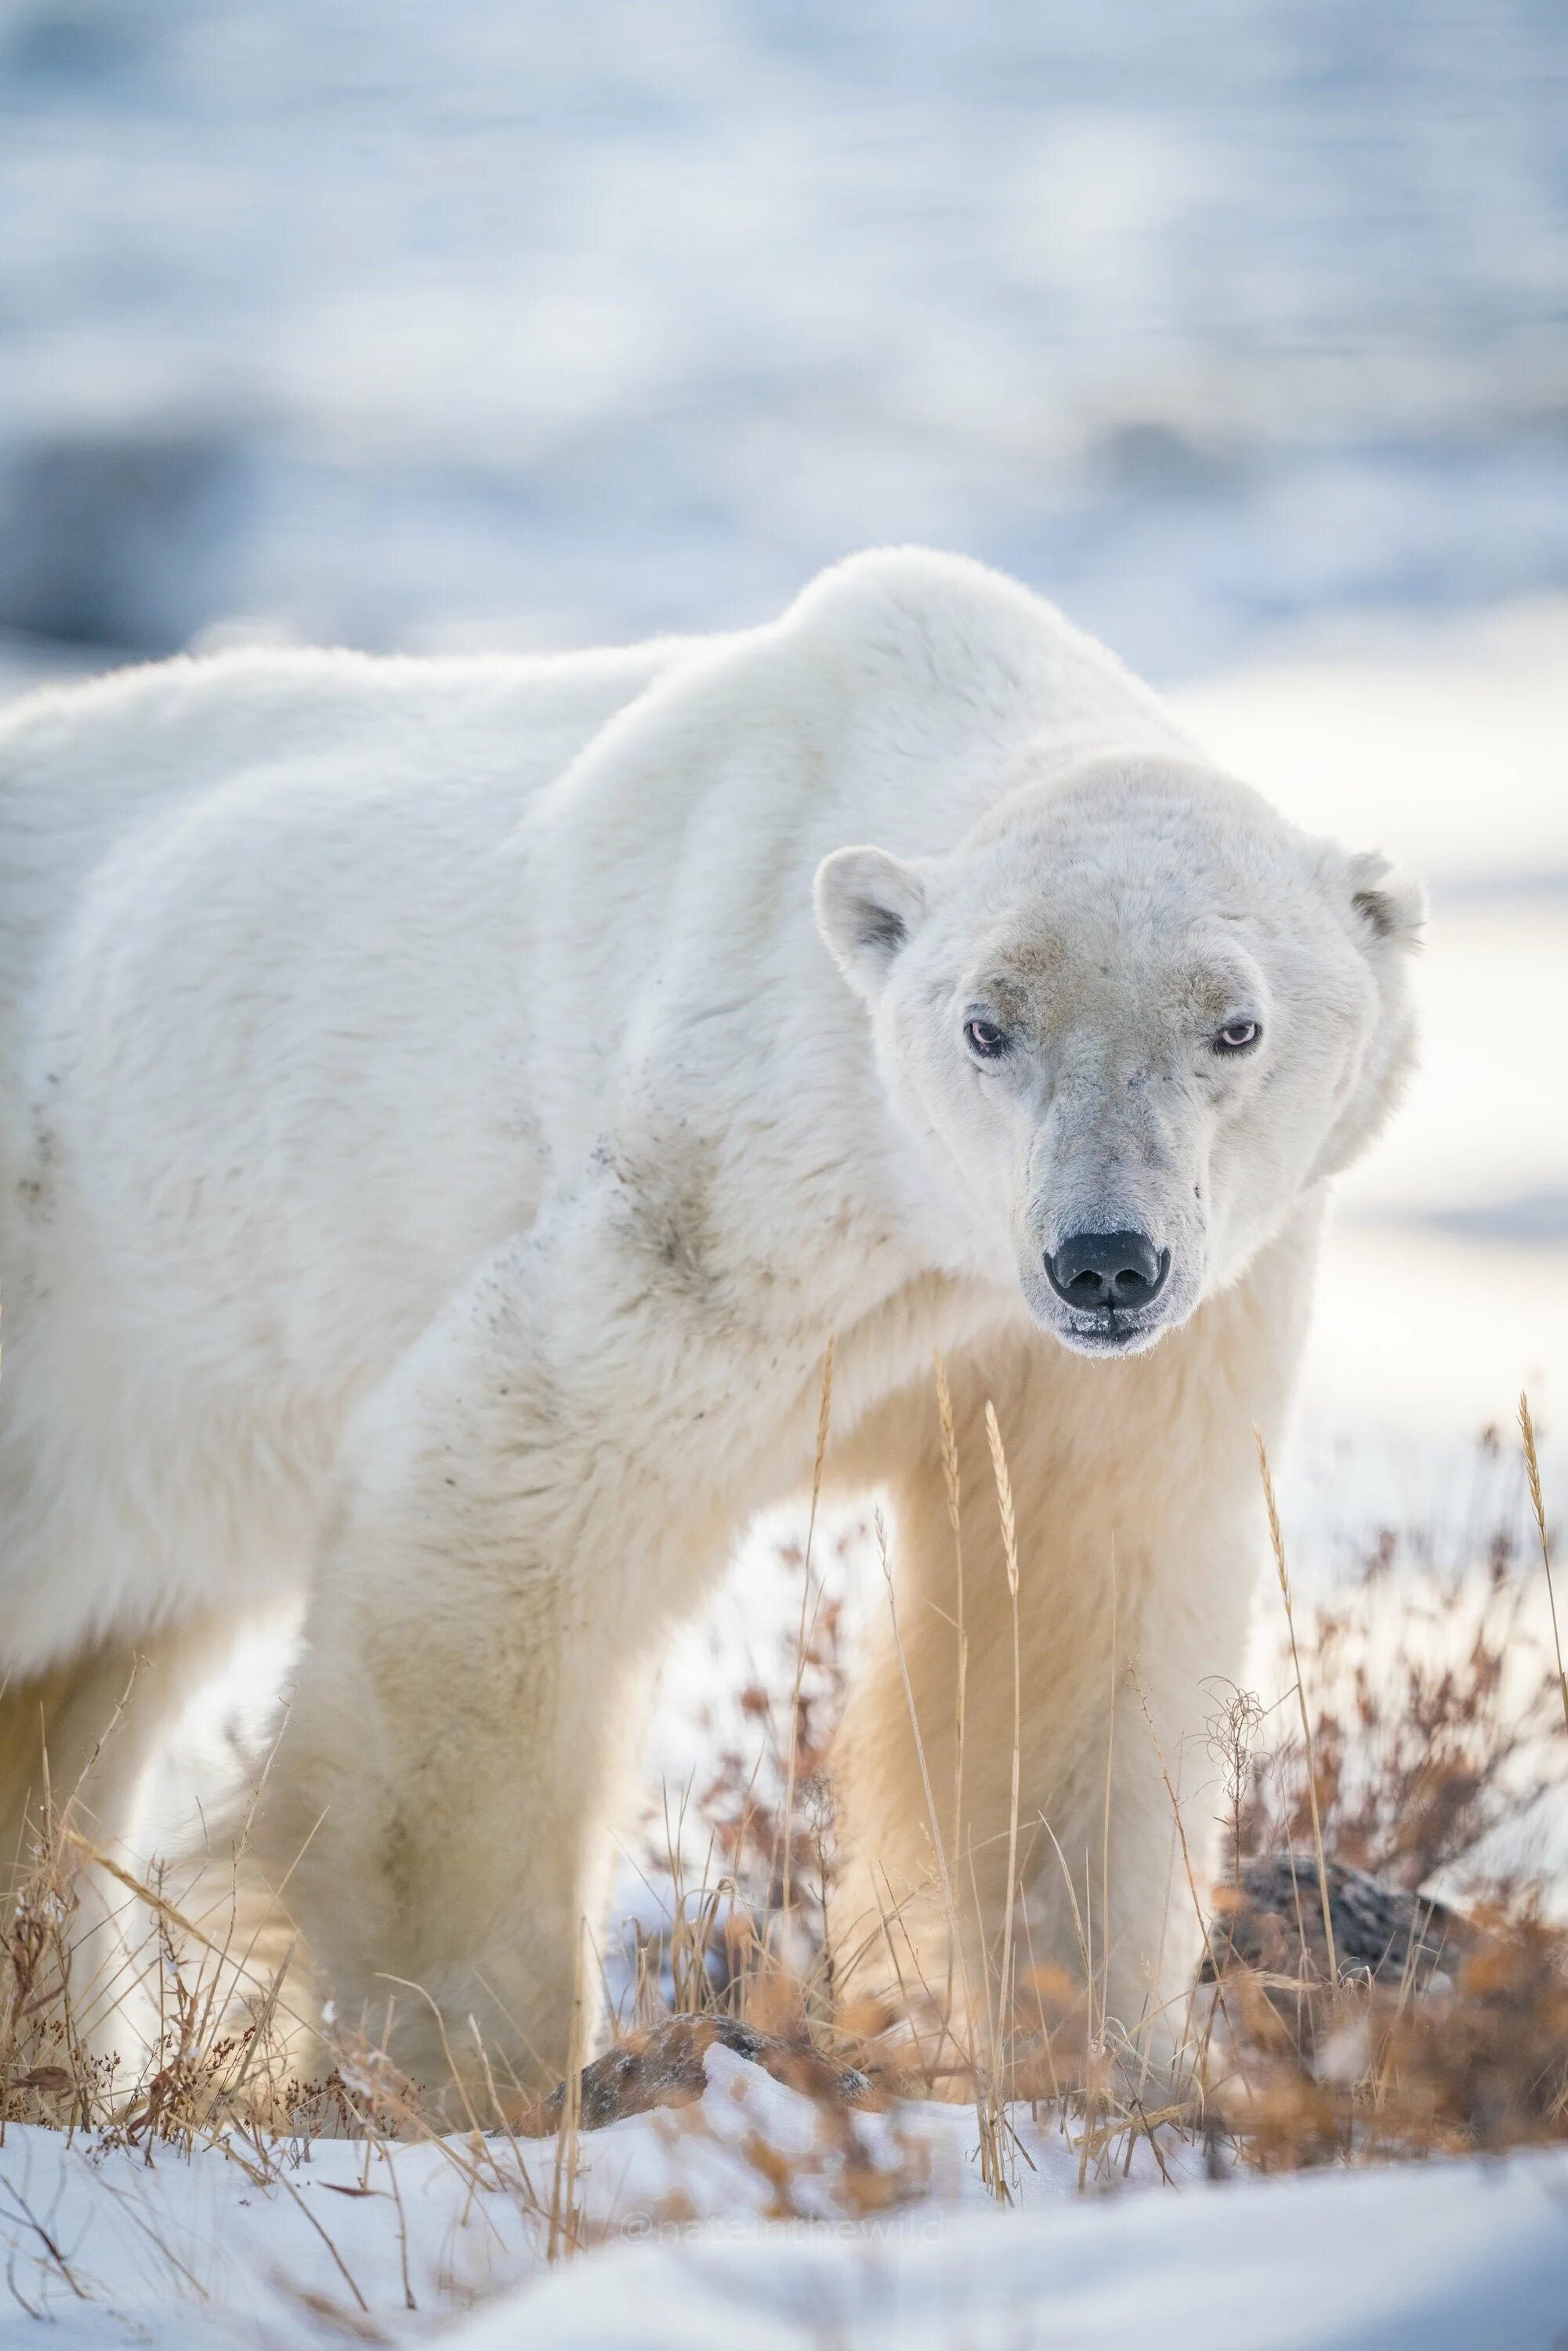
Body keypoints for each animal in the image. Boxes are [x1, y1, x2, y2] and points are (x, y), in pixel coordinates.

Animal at [0, 555, 1420, 2097]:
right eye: (986, 1026)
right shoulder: (750, 1176)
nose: (1105, 1259)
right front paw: (475, 2061)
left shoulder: (1147, 1328)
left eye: (1236, 1027)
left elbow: (1082, 1598)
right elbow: (518, 1487)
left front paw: (1094, 2057)